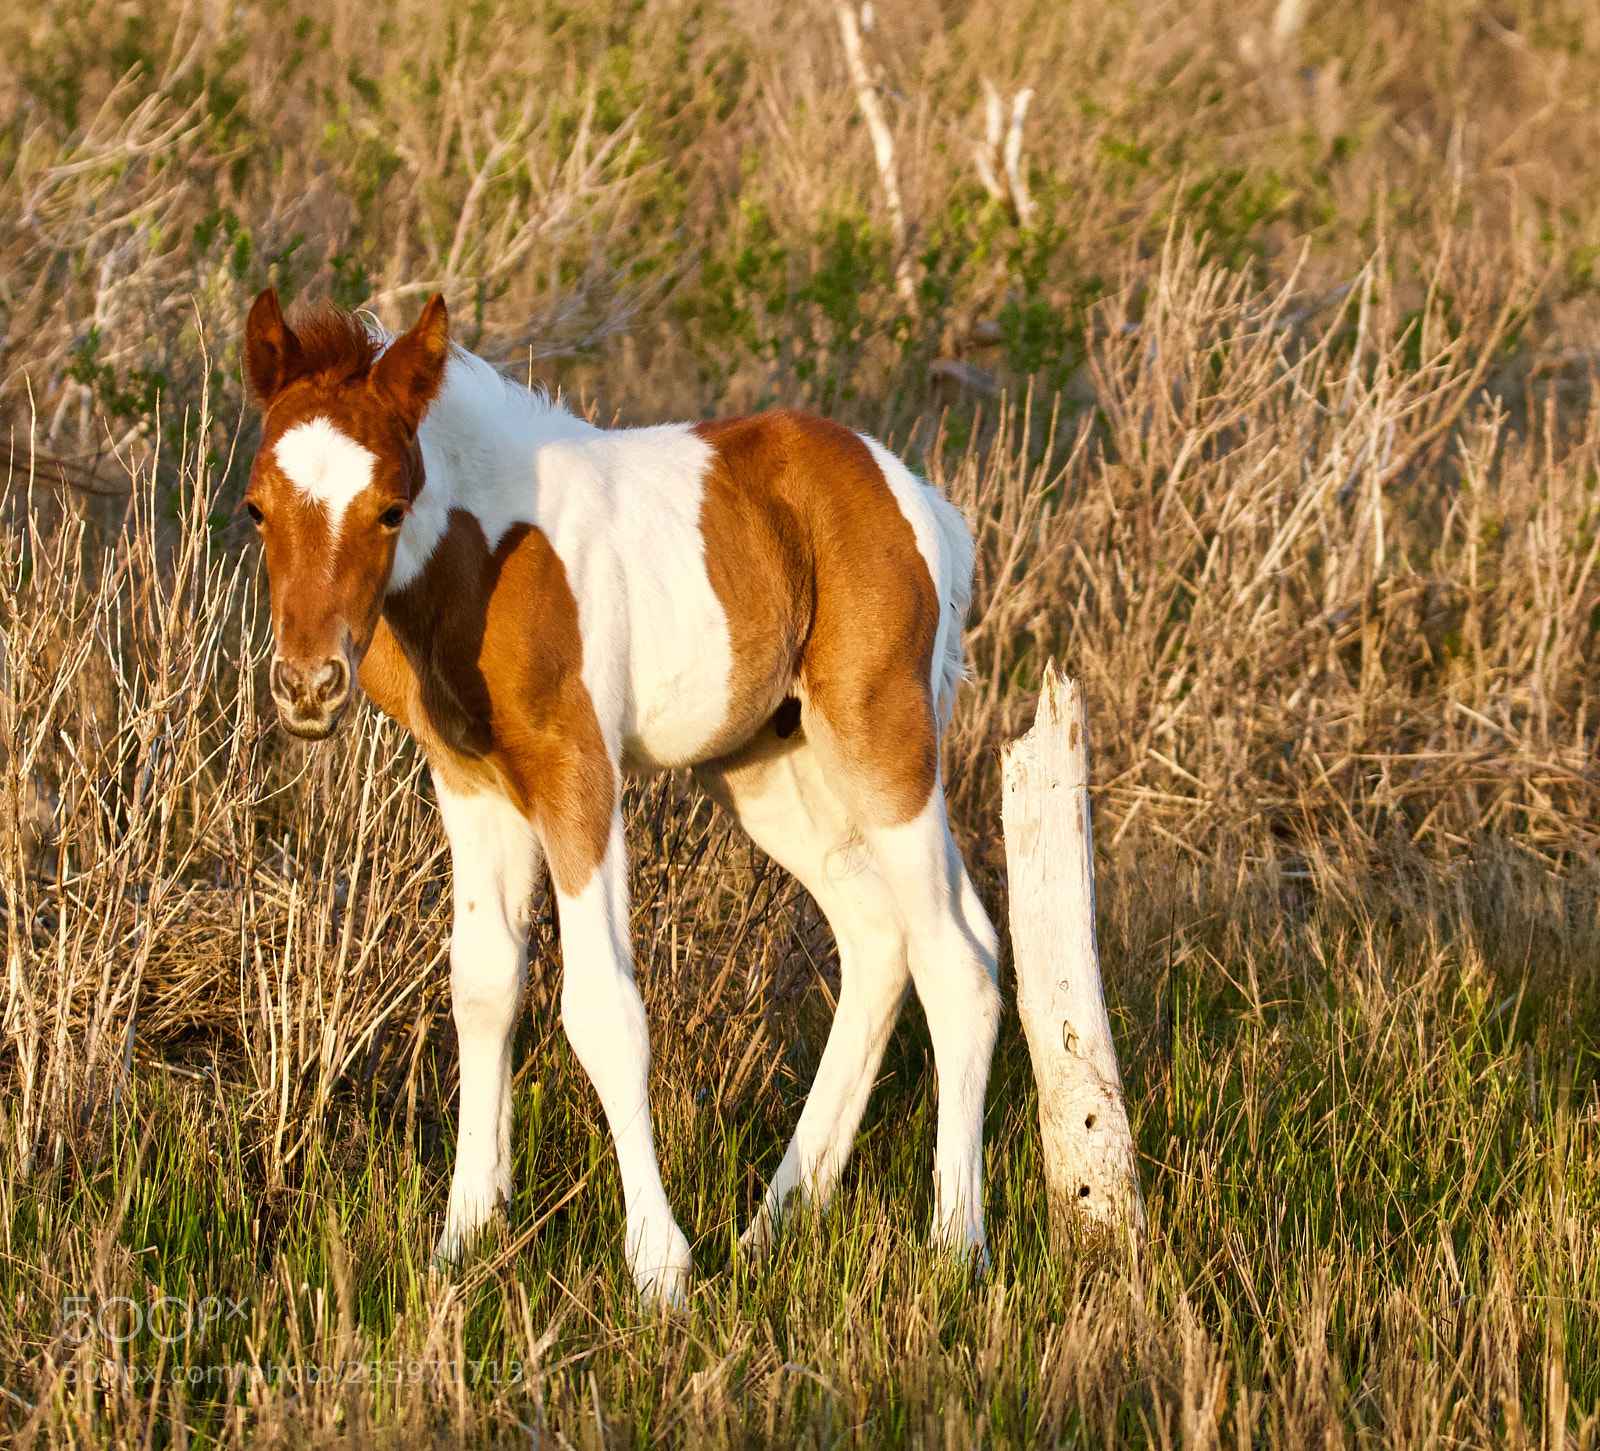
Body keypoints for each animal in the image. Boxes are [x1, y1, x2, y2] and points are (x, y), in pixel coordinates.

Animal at [241, 288, 1001, 1306]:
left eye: (390, 508)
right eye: (257, 509)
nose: (309, 687)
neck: (486, 558)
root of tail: (916, 496)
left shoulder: (577, 771)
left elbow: (602, 1009)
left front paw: (659, 1267)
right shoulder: (472, 782)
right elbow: (483, 985)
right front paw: (463, 1239)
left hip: (883, 743)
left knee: (957, 958)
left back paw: (955, 1245)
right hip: (768, 767)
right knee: (884, 937)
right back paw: (776, 1220)